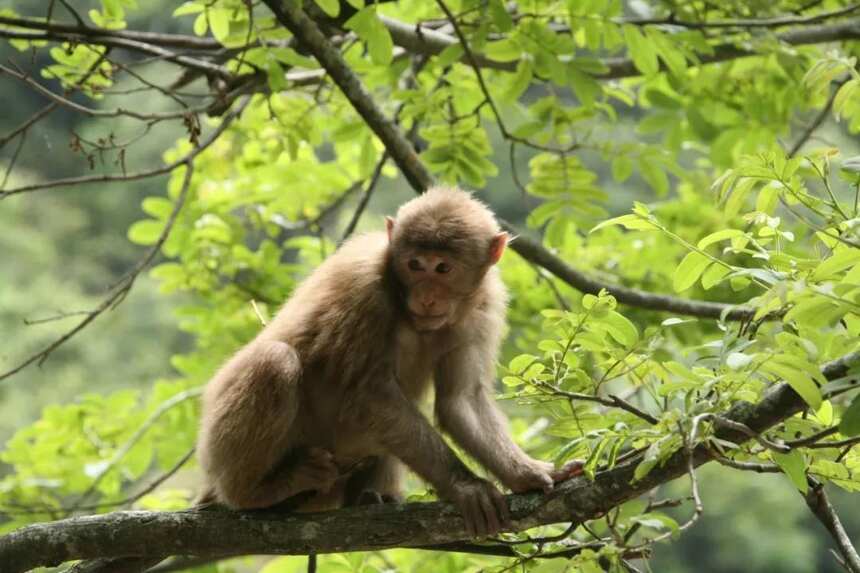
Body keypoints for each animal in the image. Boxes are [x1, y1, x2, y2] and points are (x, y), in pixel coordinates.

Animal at [198, 184, 580, 536]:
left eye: (443, 268)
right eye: (415, 265)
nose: (426, 297)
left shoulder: (484, 305)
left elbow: (461, 401)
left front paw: (527, 472)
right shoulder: (363, 288)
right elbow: (371, 396)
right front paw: (466, 486)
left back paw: (369, 497)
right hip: (221, 451)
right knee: (275, 360)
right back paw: (256, 491)